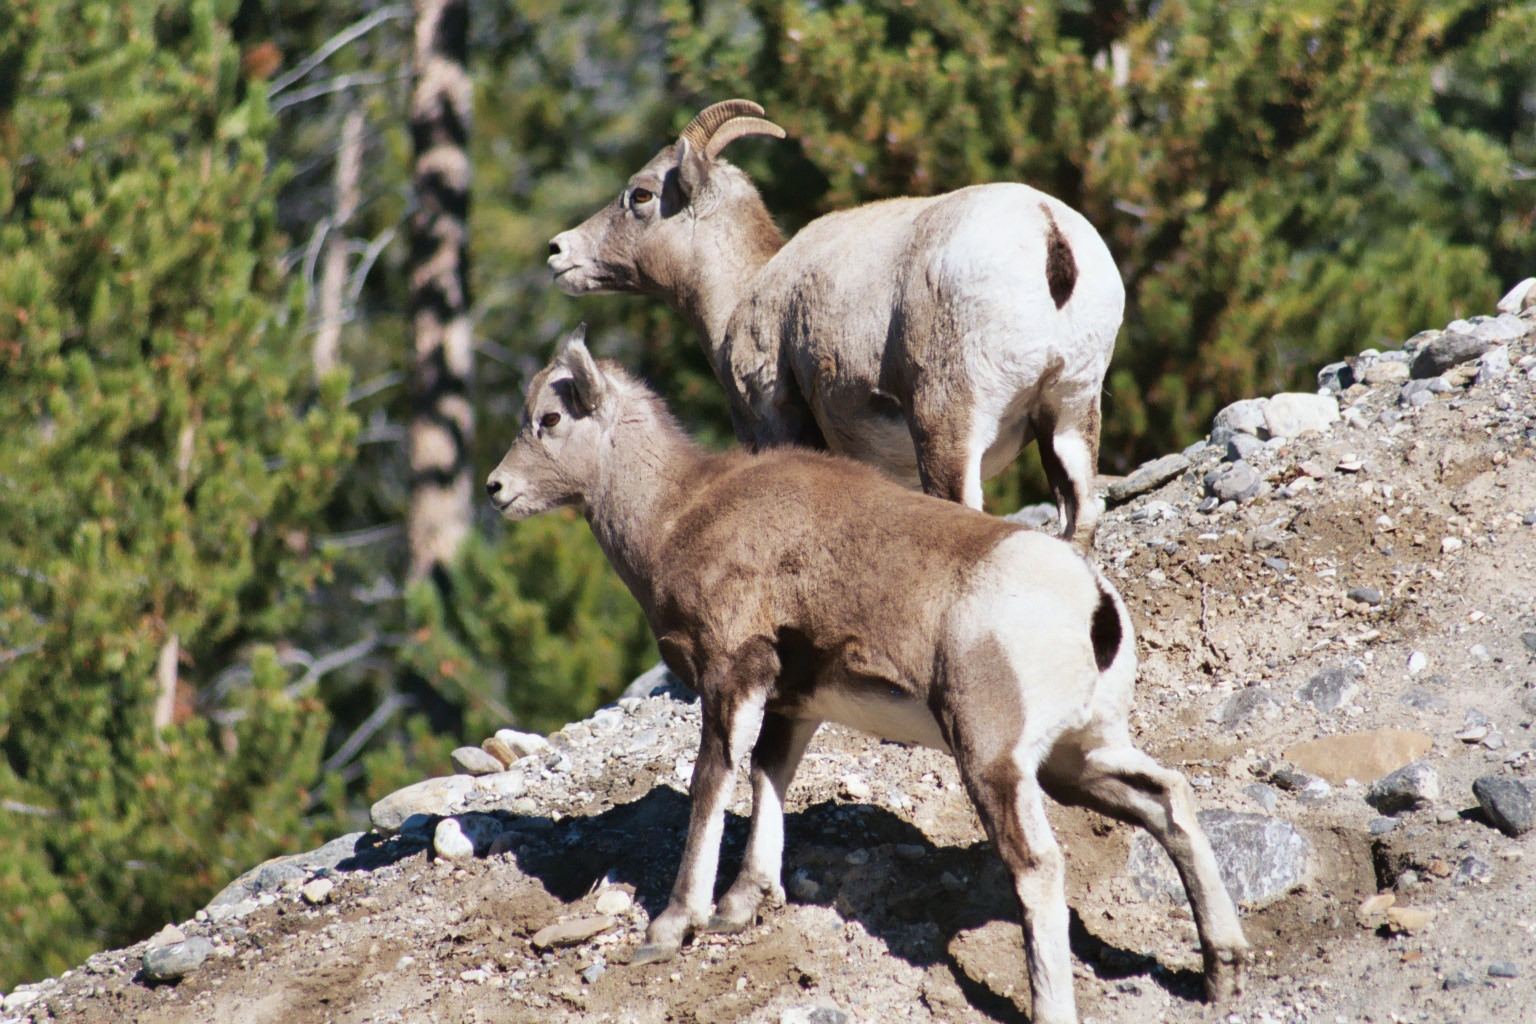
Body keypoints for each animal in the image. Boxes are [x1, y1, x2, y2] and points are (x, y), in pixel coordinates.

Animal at [485, 326, 1249, 1024]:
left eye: (549, 419)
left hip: (994, 763)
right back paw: (1224, 970)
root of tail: (1095, 605)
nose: (497, 490)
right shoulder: (792, 704)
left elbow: (711, 786)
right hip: (1077, 757)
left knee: (1038, 867)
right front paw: (741, 906)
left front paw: (672, 929)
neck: (677, 514)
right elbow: (767, 779)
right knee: (1169, 799)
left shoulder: (731, 675)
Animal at [547, 100, 1126, 546]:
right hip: (1069, 412)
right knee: (1080, 517)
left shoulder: (773, 418)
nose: (558, 252)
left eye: (641, 194)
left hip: (949, 424)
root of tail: (1048, 230)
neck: (744, 292)